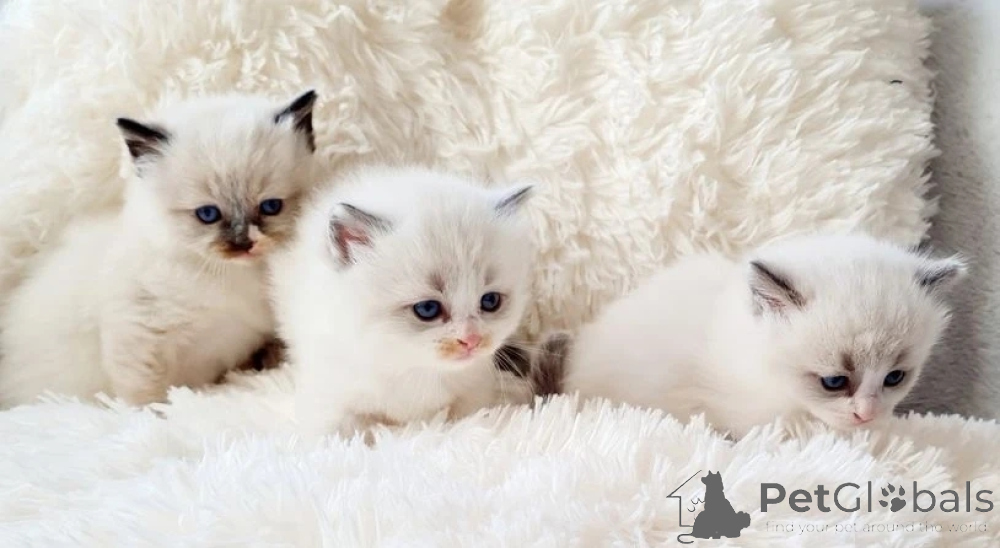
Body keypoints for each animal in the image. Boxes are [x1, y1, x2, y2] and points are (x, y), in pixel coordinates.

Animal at [0, 90, 319, 407]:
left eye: (271, 207)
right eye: (208, 214)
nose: (243, 244)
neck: (230, 274)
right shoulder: (139, 331)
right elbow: (144, 394)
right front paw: (154, 414)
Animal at [270, 166, 536, 437]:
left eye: (490, 301)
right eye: (427, 309)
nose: (471, 340)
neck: (411, 365)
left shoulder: (474, 388)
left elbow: (467, 417)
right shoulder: (329, 391)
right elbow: (335, 432)